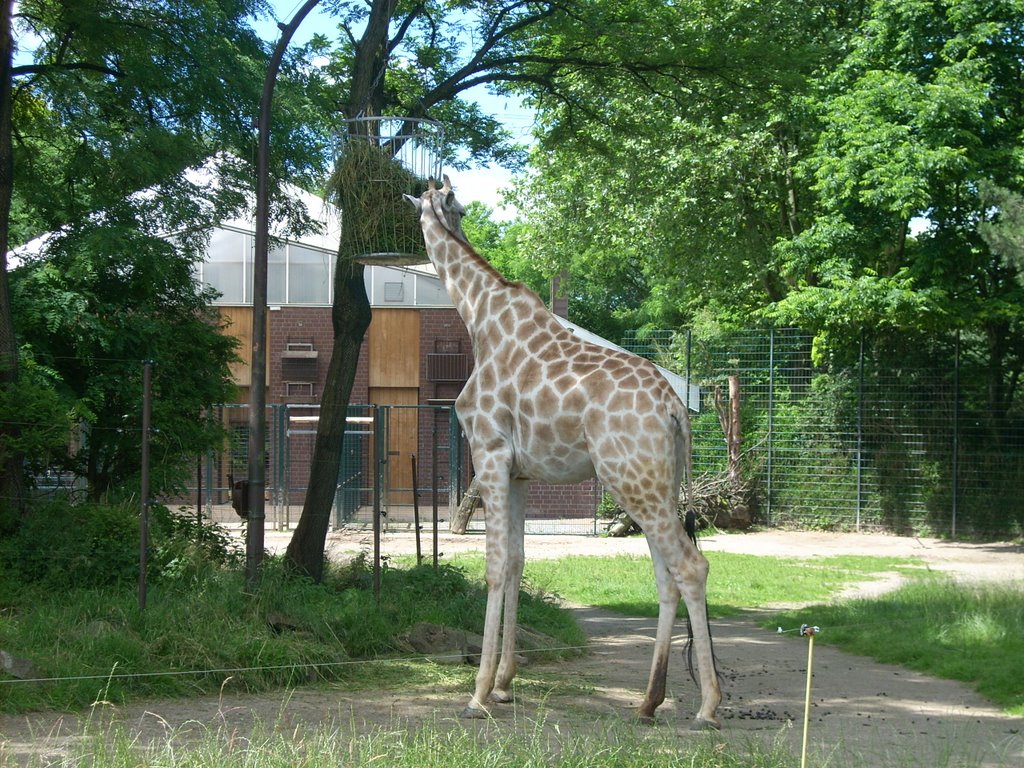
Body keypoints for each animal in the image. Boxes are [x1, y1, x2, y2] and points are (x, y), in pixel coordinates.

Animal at [403, 176, 724, 733]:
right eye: (457, 207)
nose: (451, 222)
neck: (479, 319)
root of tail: (675, 408)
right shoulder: (519, 473)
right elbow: (516, 562)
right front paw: (505, 684)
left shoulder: (488, 453)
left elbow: (494, 566)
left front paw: (478, 694)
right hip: (653, 482)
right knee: (666, 574)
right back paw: (649, 702)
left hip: (629, 477)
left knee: (690, 566)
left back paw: (706, 707)